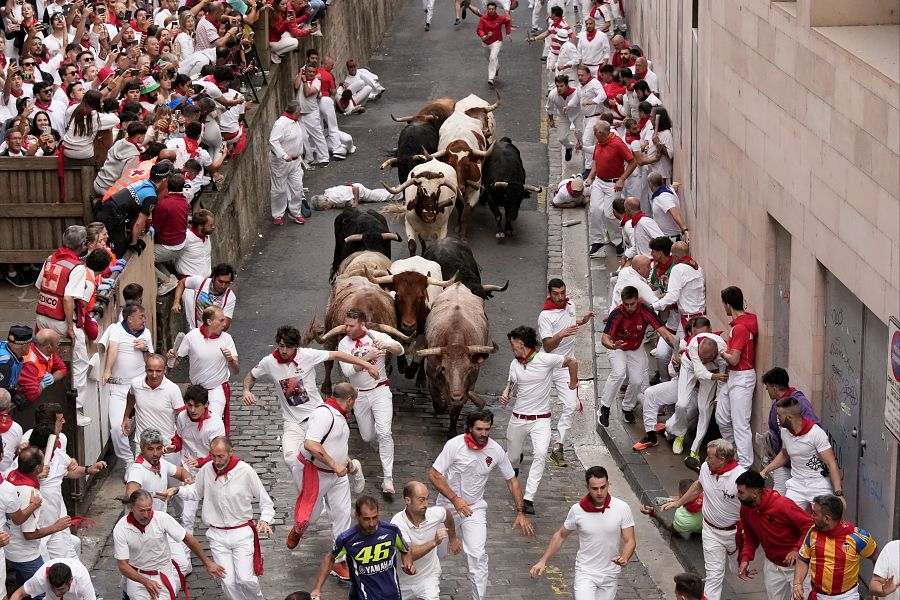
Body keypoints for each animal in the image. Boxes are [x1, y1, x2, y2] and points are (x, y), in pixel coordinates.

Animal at [416, 284, 500, 434]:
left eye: (469, 368)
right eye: (443, 368)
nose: (455, 396)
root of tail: (458, 284)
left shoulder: (467, 389)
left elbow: (454, 413)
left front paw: (452, 433)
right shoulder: (432, 381)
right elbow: (439, 405)